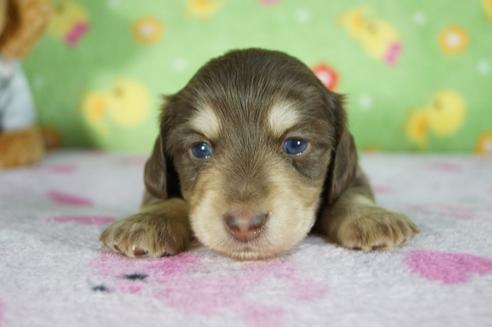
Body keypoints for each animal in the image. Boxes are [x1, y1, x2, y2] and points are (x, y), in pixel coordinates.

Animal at [100, 48, 418, 258]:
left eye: (295, 145)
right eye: (200, 149)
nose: (244, 226)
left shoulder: (352, 174)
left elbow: (351, 192)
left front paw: (371, 218)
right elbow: (163, 198)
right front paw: (147, 222)